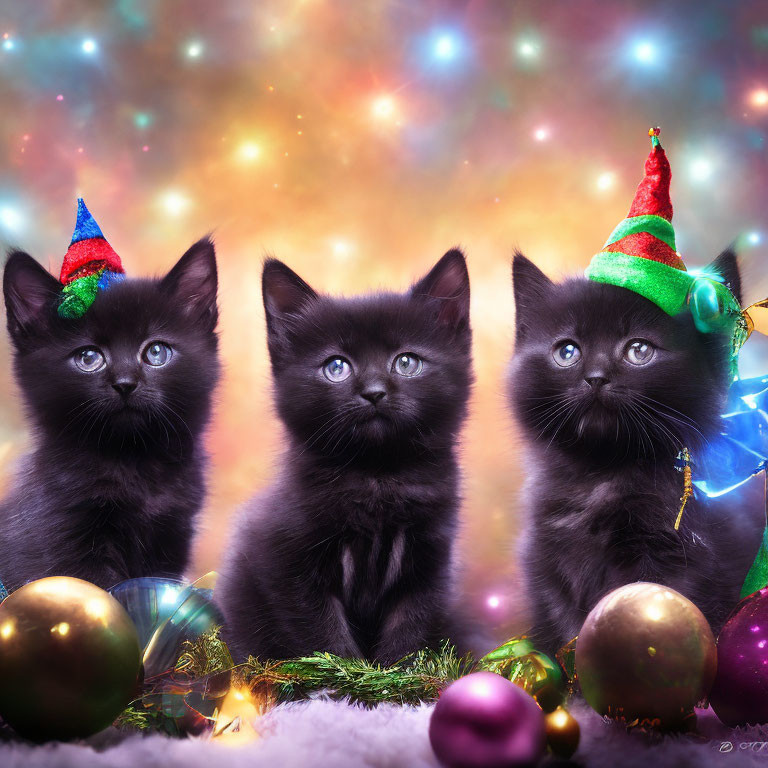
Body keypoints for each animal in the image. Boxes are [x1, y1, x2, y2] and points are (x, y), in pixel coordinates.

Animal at [213, 252, 472, 664]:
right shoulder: (287, 566)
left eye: (407, 362)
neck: (377, 477)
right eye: (336, 367)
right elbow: (322, 637)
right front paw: (348, 677)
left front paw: (396, 675)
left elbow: (410, 630)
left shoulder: (430, 563)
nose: (374, 392)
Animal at [508, 248, 764, 656]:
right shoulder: (544, 557)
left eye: (638, 349)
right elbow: (565, 628)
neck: (603, 473)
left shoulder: (680, 558)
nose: (596, 377)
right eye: (567, 351)